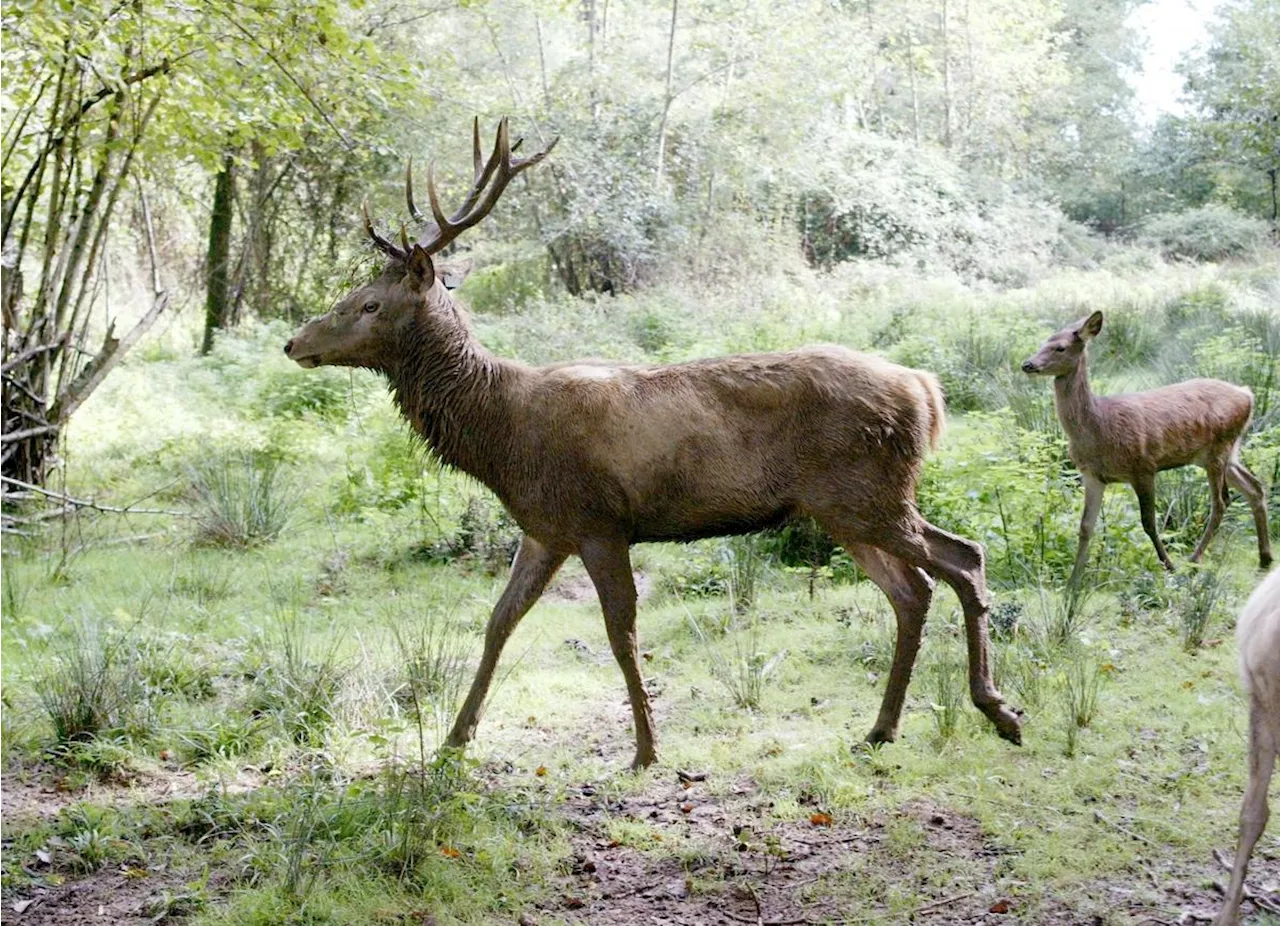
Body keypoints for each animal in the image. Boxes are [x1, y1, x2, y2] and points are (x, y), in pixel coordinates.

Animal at [285, 117, 1024, 768]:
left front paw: (645, 749)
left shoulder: (598, 520)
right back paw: (881, 729)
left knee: (963, 558)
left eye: (370, 304)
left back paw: (997, 710)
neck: (501, 436)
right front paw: (453, 740)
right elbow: (498, 622)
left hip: (867, 492)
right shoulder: (544, 528)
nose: (294, 342)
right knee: (914, 590)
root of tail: (926, 392)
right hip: (844, 507)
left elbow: (621, 632)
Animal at [1018, 311, 1269, 586]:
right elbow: (1085, 527)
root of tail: (1247, 394)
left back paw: (1193, 561)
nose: (1027, 364)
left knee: (1222, 501)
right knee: (1255, 487)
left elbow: (1148, 522)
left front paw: (1169, 567)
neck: (1099, 426)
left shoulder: (1143, 466)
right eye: (1044, 341)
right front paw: (1073, 583)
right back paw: (1264, 559)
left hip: (1219, 449)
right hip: (1222, 453)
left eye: (1060, 347)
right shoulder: (1092, 475)